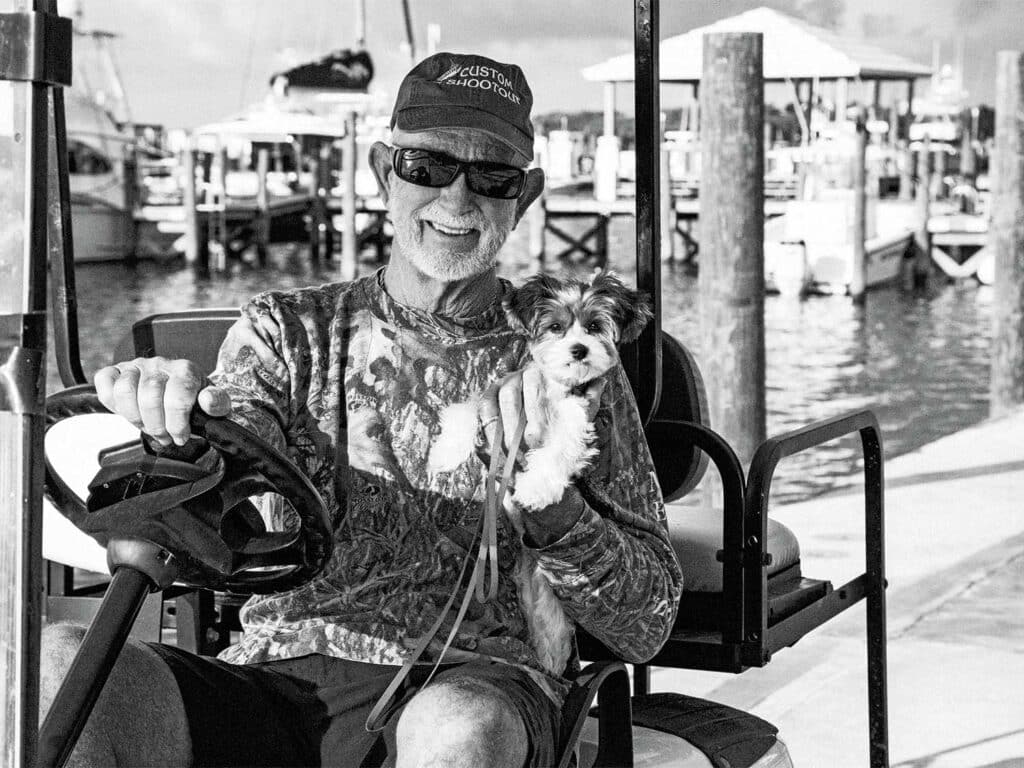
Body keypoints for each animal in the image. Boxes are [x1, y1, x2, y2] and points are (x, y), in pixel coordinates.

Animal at [428, 272, 651, 679]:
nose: (578, 350)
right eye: (555, 327)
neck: (554, 389)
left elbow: (558, 450)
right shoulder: (499, 391)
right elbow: (466, 410)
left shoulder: (578, 418)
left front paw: (535, 487)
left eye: (594, 327)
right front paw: (445, 451)